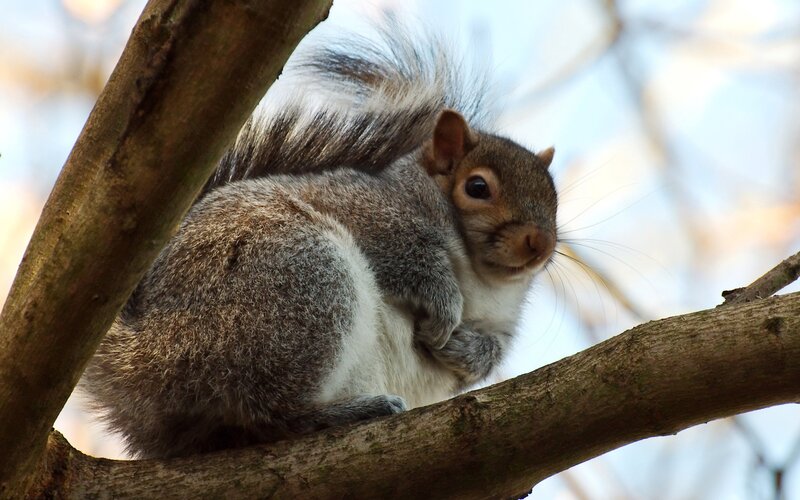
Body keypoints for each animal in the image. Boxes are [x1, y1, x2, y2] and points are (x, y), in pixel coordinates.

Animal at [80, 23, 558, 459]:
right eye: (477, 188)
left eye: (554, 199)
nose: (541, 243)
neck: (482, 278)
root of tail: (143, 363)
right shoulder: (367, 208)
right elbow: (406, 254)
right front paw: (444, 304)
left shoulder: (501, 321)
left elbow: (492, 351)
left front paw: (468, 350)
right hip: (300, 283)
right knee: (268, 411)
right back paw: (342, 414)